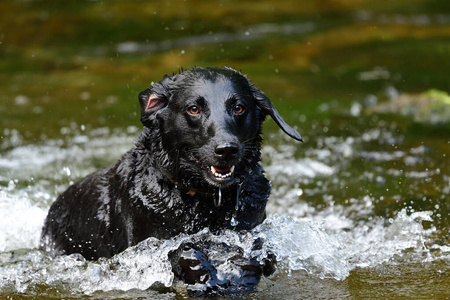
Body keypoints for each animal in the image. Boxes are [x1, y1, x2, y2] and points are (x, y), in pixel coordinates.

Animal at [40, 67, 302, 292]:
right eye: (193, 109)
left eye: (238, 108)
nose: (226, 149)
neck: (206, 203)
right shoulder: (148, 246)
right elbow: (179, 253)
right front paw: (201, 269)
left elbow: (262, 252)